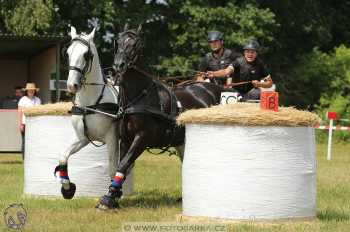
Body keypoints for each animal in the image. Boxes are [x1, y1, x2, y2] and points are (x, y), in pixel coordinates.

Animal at [54, 26, 120, 198]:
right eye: (68, 53)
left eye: (86, 55)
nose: (72, 85)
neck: (90, 104)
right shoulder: (83, 138)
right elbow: (63, 156)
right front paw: (67, 187)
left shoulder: (111, 137)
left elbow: (112, 168)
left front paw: (113, 195)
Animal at [95, 24, 221, 210]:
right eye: (118, 41)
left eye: (136, 44)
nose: (119, 65)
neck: (139, 96)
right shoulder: (125, 138)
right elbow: (122, 164)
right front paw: (113, 195)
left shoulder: (142, 138)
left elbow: (125, 163)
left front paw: (109, 198)